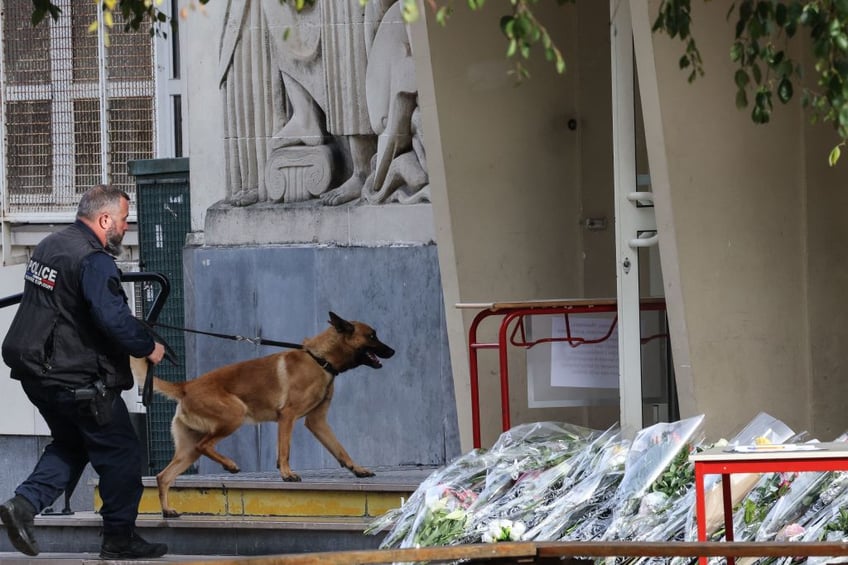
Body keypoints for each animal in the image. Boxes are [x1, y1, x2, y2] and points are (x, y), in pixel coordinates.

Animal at [132, 310, 394, 516]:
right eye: (372, 336)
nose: (392, 351)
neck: (319, 359)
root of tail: (185, 386)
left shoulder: (317, 421)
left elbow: (340, 449)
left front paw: (358, 469)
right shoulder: (287, 416)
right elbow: (285, 450)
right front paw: (287, 474)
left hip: (187, 450)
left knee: (164, 476)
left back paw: (167, 510)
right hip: (235, 415)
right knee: (204, 445)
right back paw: (230, 465)